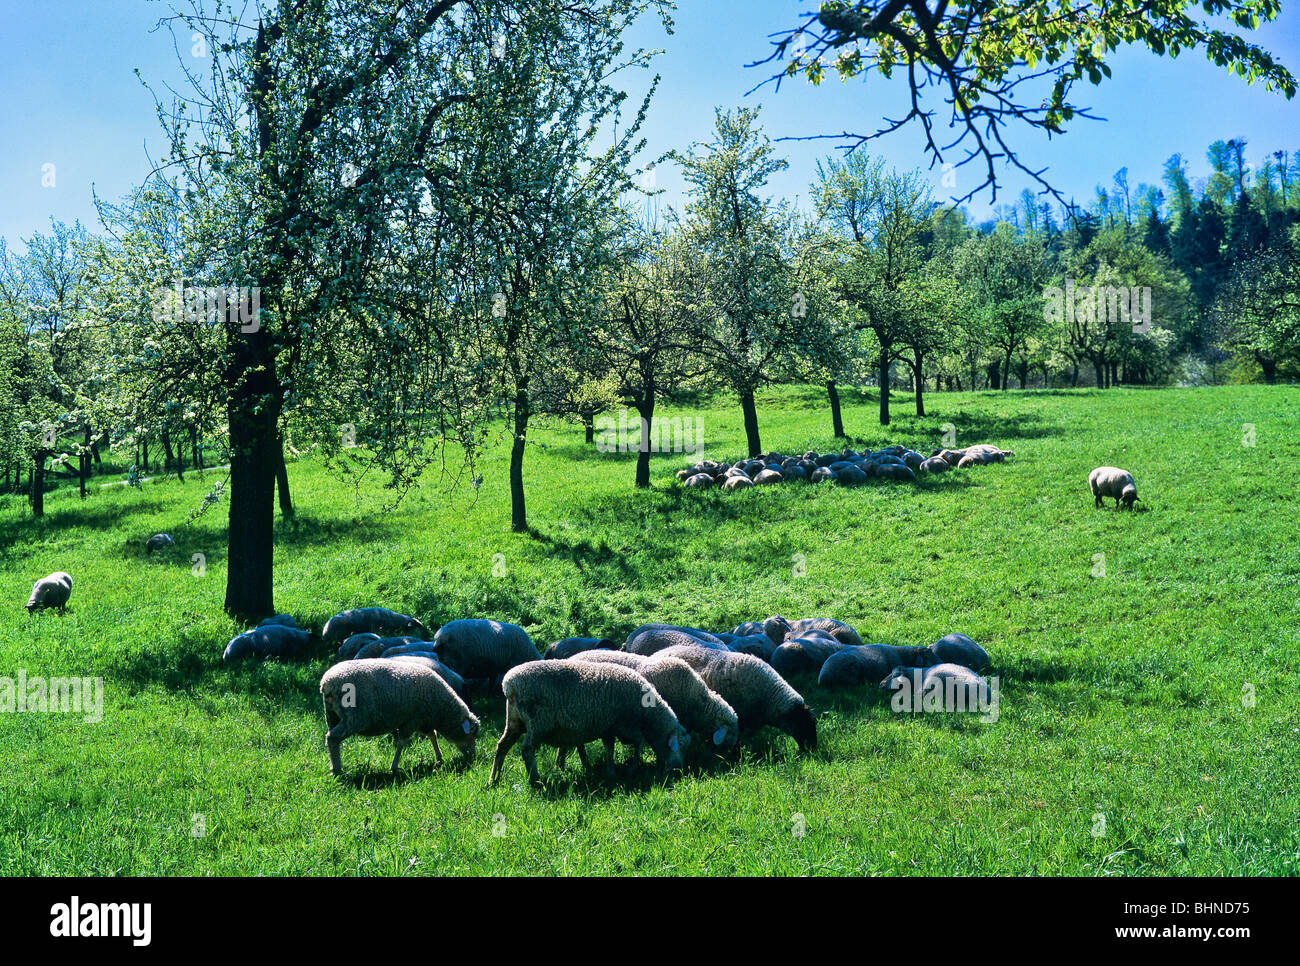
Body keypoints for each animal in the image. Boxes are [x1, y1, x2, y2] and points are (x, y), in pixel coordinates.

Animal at [317, 657, 480, 780]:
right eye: (471, 734)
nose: (473, 756)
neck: (441, 709)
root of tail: (328, 682)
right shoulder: (412, 720)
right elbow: (402, 742)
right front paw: (394, 767)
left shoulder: (423, 720)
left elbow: (432, 735)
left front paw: (439, 758)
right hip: (355, 717)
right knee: (332, 738)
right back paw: (337, 770)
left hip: (331, 715)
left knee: (331, 740)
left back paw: (334, 765)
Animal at [488, 660, 691, 790]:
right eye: (680, 745)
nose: (679, 770)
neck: (646, 715)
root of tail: (508, 684)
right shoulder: (621, 724)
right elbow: (632, 744)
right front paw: (626, 769)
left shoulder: (608, 726)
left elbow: (610, 748)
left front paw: (611, 771)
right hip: (537, 722)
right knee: (527, 749)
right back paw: (535, 780)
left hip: (514, 722)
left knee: (502, 746)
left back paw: (493, 779)